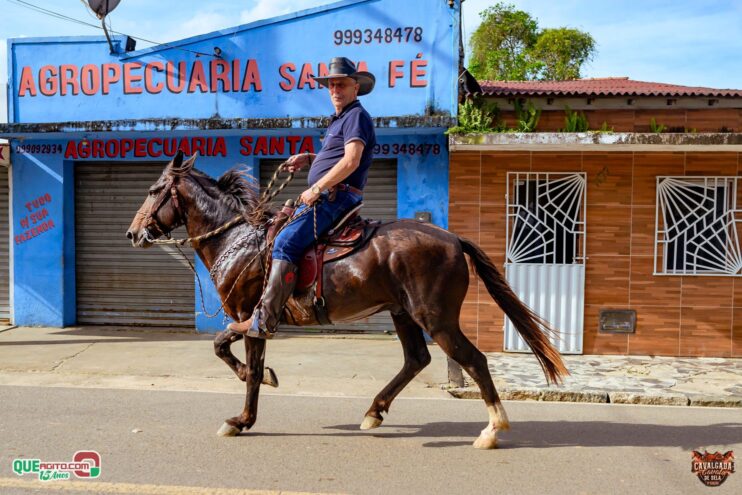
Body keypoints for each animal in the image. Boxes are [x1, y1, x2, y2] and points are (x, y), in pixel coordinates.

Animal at [126, 151, 568, 449]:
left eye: (152, 190)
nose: (132, 233)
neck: (236, 238)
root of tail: (454, 239)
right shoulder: (247, 319)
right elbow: (233, 355)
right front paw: (260, 387)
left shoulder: (250, 316)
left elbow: (237, 361)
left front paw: (242, 417)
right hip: (403, 313)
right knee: (416, 359)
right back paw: (374, 412)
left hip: (436, 318)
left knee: (473, 359)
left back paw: (492, 429)